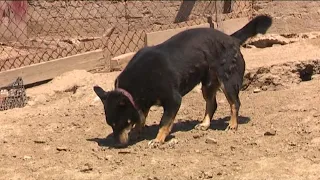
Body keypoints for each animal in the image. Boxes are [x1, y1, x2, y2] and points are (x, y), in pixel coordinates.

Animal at [94, 15, 272, 148]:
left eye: (119, 123)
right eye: (111, 125)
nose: (118, 145)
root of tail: (231, 38)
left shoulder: (173, 100)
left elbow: (164, 122)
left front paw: (158, 140)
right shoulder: (142, 103)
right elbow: (141, 117)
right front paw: (138, 131)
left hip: (227, 81)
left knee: (235, 103)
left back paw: (233, 125)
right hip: (208, 84)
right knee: (212, 104)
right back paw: (205, 124)